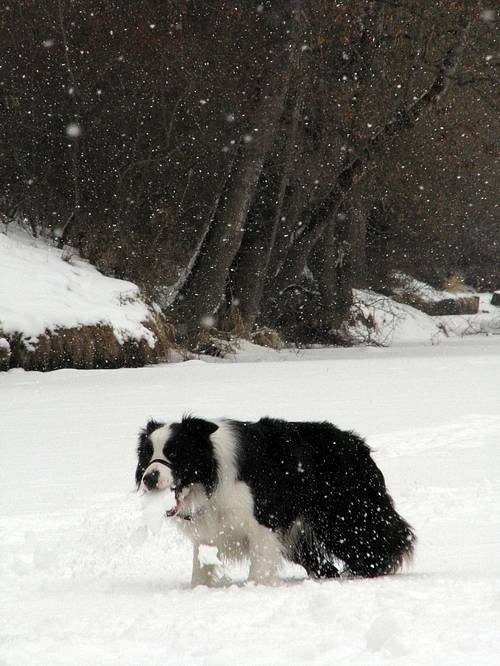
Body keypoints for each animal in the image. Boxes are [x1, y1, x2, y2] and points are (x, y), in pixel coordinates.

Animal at [137, 416, 414, 588]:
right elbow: (201, 568)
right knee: (325, 565)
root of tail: (358, 444)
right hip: (300, 536)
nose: (148, 478)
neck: (211, 474)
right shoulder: (209, 531)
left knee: (380, 543)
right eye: (147, 455)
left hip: (344, 517)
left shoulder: (262, 523)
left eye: (174, 453)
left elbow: (259, 567)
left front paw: (256, 588)